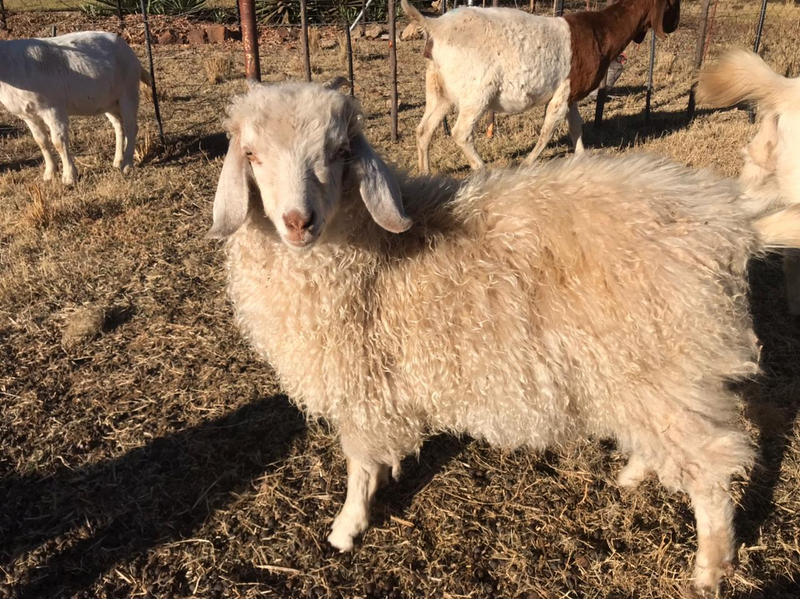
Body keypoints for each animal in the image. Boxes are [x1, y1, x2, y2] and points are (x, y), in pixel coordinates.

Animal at [0, 30, 149, 184]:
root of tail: (130, 52)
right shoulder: (29, 115)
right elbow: (41, 142)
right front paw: (50, 174)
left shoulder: (53, 108)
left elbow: (58, 142)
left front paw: (69, 177)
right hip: (110, 101)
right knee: (119, 125)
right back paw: (117, 161)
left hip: (128, 91)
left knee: (131, 127)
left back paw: (127, 165)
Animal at [208, 81, 800, 599]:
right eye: (252, 155)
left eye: (339, 152)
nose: (297, 222)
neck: (370, 252)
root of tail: (730, 223)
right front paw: (391, 474)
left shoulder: (359, 380)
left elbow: (358, 461)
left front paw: (347, 525)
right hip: (652, 375)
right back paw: (636, 472)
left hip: (668, 361)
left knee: (711, 466)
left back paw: (710, 568)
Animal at [404, 0, 680, 173]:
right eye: (671, 3)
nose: (676, 23)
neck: (601, 32)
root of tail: (436, 26)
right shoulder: (563, 92)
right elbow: (548, 129)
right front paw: (527, 163)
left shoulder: (571, 94)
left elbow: (576, 125)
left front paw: (582, 157)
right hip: (477, 91)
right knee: (461, 132)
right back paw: (484, 170)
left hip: (439, 89)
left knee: (423, 130)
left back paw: (426, 174)